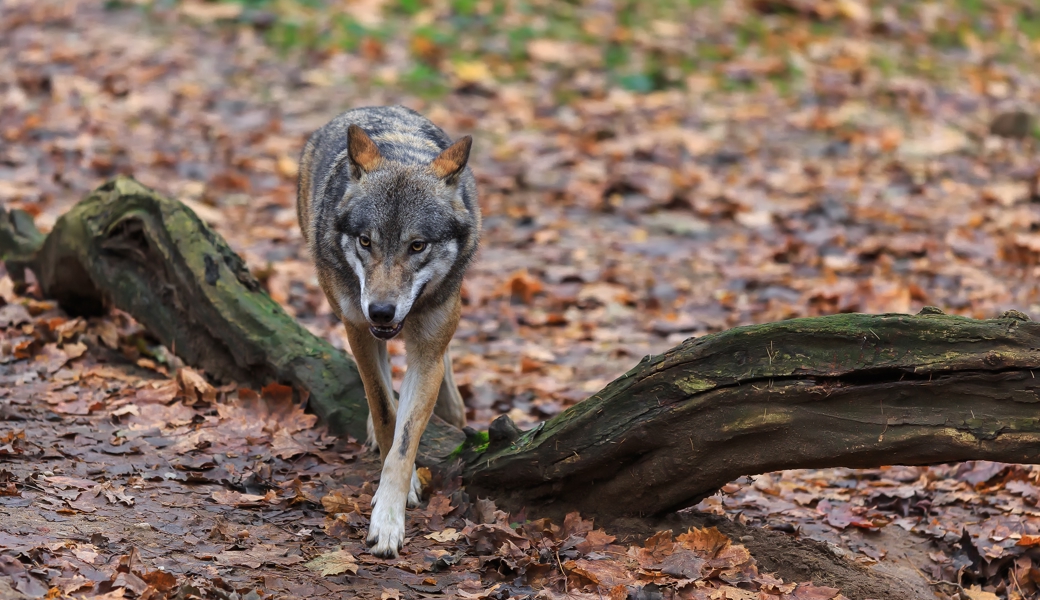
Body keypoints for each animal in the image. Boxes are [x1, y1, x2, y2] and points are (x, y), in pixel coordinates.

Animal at [295, 103, 480, 557]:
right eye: (366, 241)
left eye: (417, 246)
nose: (380, 311)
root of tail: (378, 106)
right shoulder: (358, 330)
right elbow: (384, 409)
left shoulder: (427, 352)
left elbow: (405, 439)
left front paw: (389, 521)